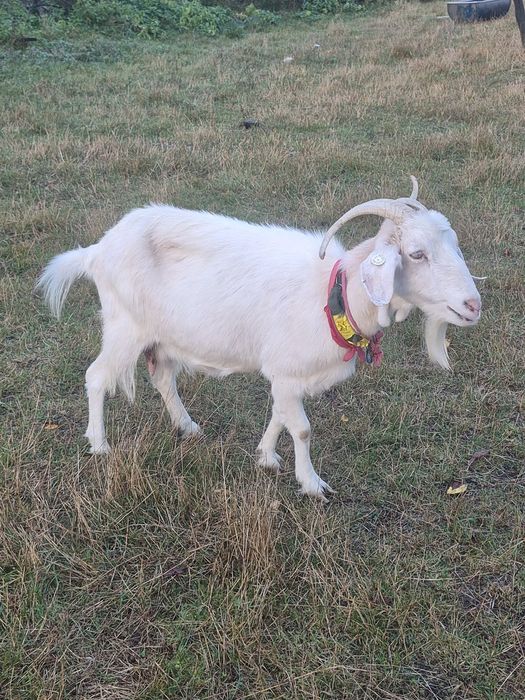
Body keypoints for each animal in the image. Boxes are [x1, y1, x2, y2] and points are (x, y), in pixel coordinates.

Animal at [37, 178, 481, 500]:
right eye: (417, 253)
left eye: (454, 244)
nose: (473, 305)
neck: (334, 295)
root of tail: (97, 251)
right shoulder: (286, 371)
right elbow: (300, 428)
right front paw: (312, 484)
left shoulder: (286, 376)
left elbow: (279, 416)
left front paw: (266, 457)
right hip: (124, 327)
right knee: (97, 377)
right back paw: (99, 445)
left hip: (163, 337)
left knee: (162, 378)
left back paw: (187, 426)